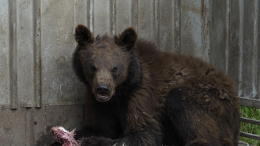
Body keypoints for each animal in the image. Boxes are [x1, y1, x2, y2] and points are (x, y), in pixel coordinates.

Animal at [50, 24, 240, 145]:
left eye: (115, 68)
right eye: (92, 67)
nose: (103, 89)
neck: (120, 92)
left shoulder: (143, 93)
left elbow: (144, 132)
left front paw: (93, 141)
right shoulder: (96, 100)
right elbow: (99, 126)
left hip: (212, 100)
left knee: (184, 104)